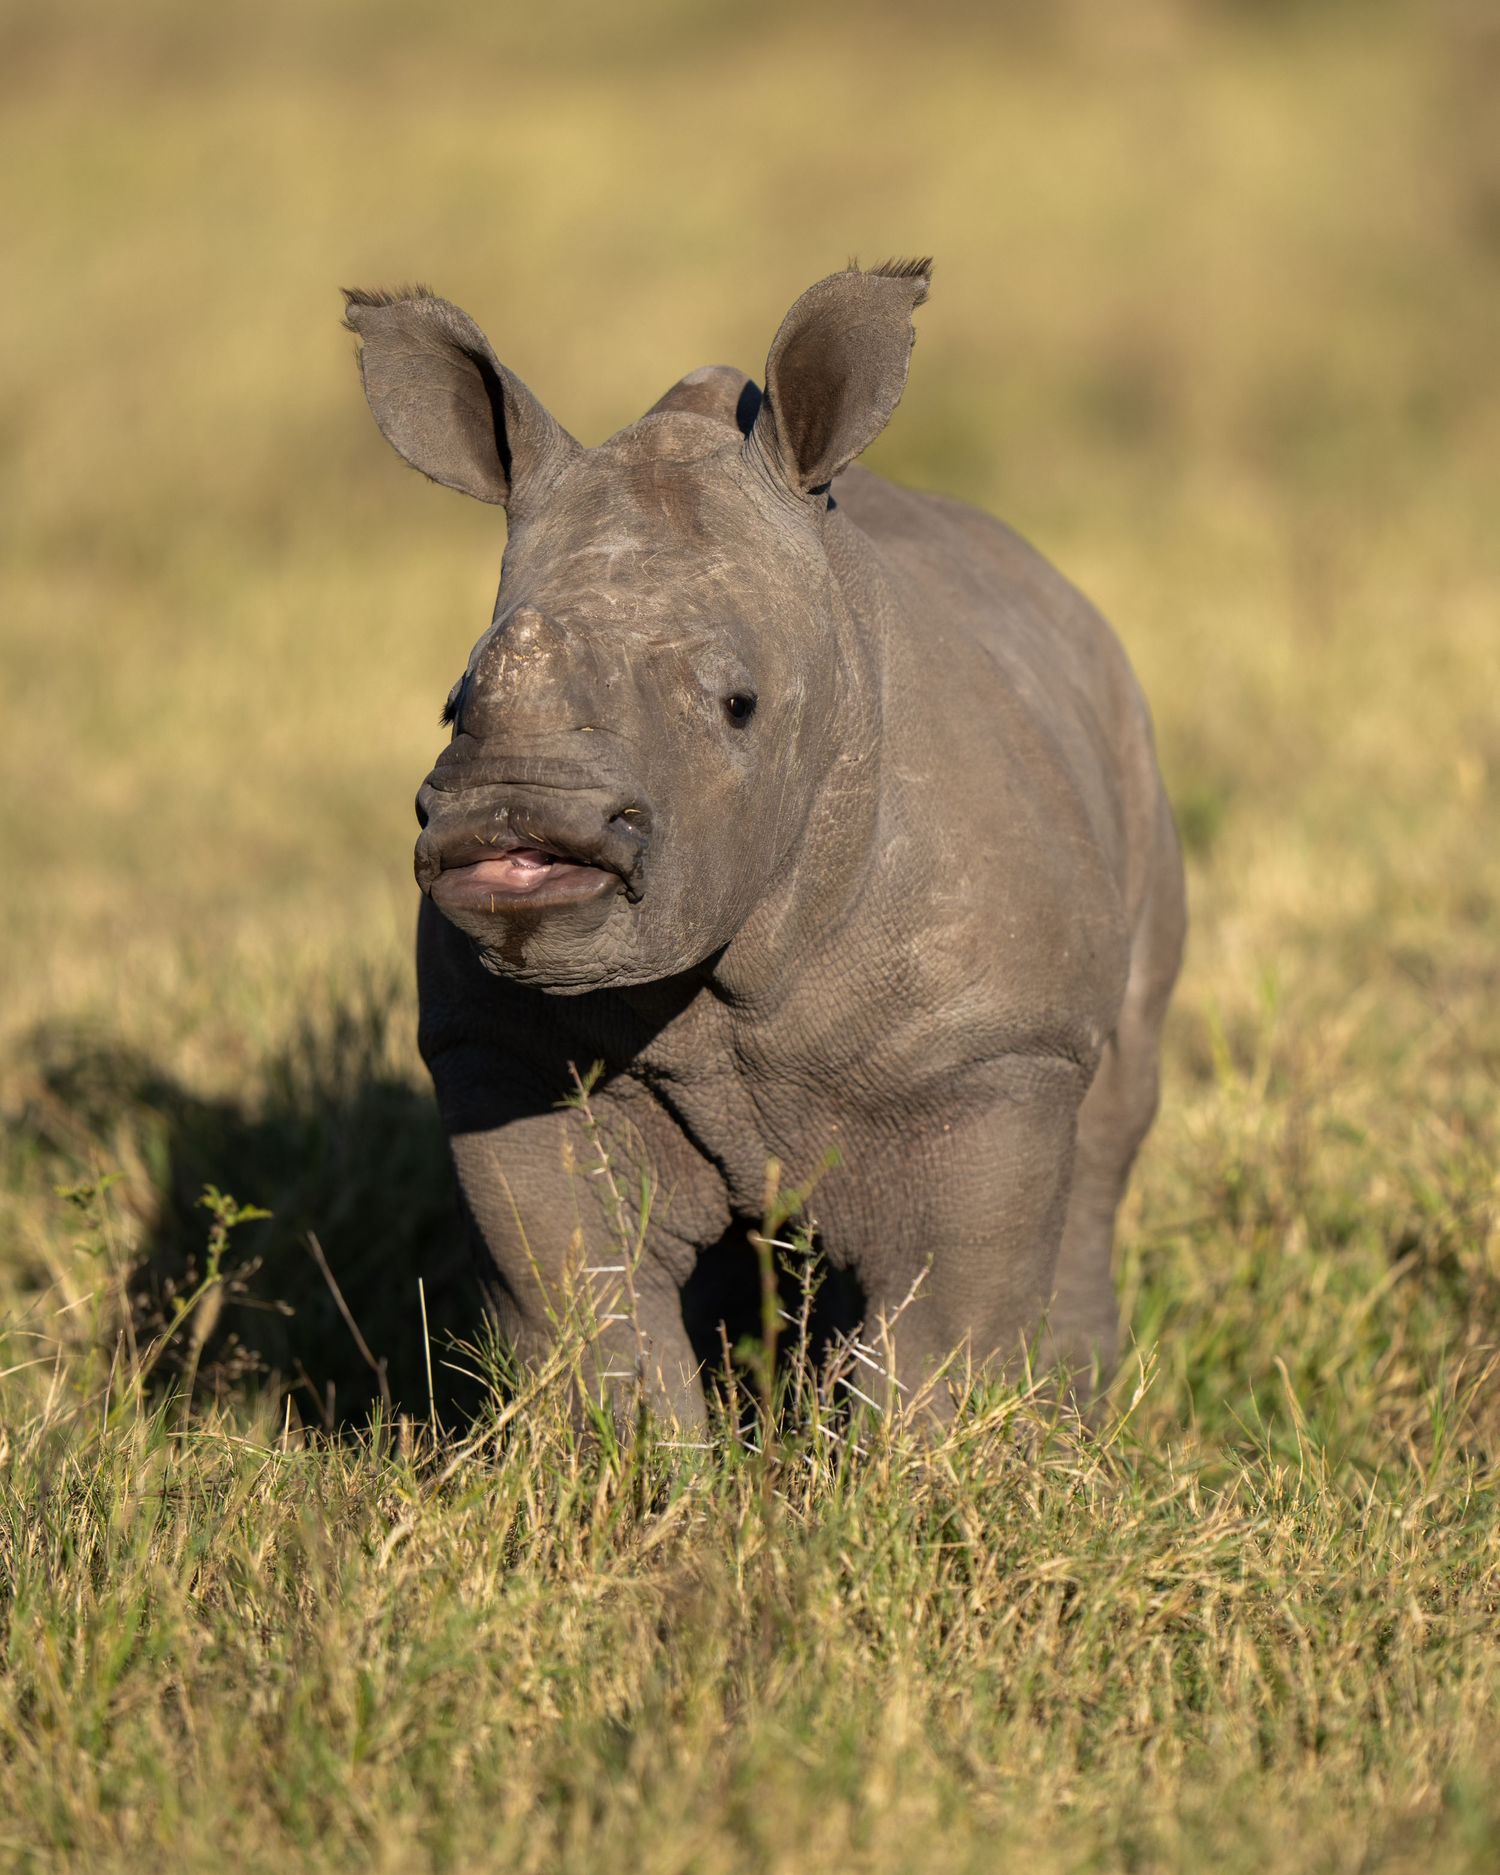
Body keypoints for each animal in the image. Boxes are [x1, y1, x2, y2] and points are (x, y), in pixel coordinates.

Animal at [343, 261, 1185, 1424]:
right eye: (453, 704)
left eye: (739, 707)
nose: (517, 817)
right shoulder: (504, 1051)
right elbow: (584, 1307)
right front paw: (642, 1467)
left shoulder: (991, 1051)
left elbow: (943, 1327)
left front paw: (917, 1466)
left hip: (1130, 750)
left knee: (1110, 1125)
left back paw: (1079, 1409)